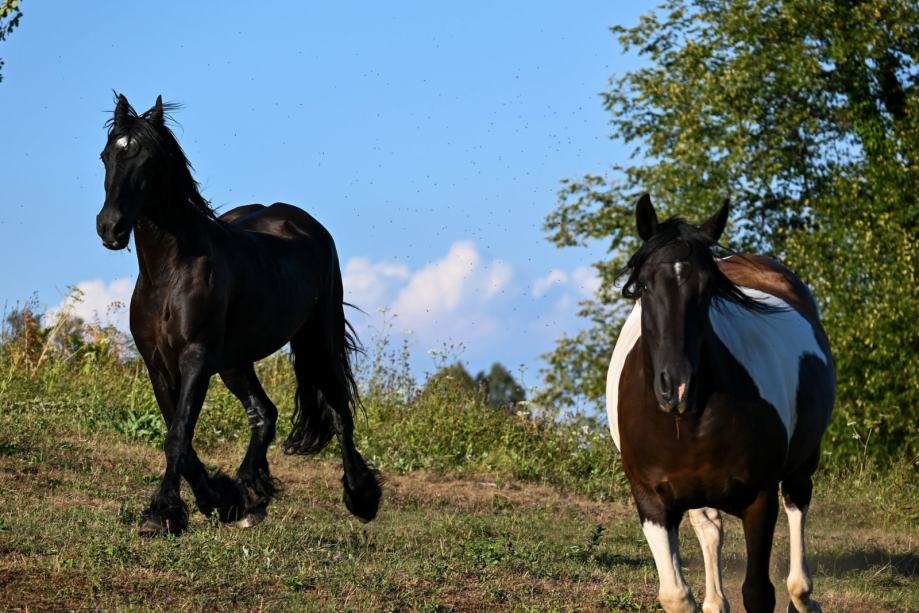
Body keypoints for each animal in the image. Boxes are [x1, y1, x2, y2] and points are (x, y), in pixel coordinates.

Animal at [93, 92, 380, 536]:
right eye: (107, 155)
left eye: (147, 160)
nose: (111, 227)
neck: (169, 272)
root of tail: (304, 223)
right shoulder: (158, 364)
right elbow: (180, 436)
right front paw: (217, 499)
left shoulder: (196, 358)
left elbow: (178, 435)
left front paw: (162, 513)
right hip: (235, 361)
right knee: (264, 413)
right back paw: (252, 495)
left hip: (317, 340)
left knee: (337, 411)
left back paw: (361, 498)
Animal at [608, 196, 836, 612]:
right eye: (643, 286)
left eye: (708, 288)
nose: (677, 387)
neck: (687, 423)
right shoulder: (651, 502)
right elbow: (676, 594)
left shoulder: (759, 499)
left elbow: (758, 592)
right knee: (710, 528)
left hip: (802, 462)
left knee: (797, 507)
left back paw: (804, 597)